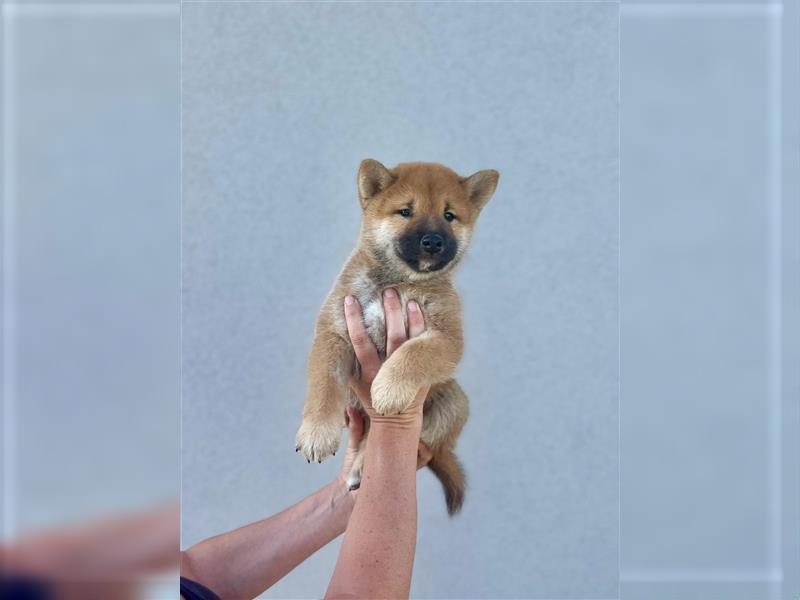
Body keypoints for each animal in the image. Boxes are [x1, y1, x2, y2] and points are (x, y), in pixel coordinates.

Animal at [296, 159, 496, 516]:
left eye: (449, 215)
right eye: (406, 211)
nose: (433, 241)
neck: (398, 282)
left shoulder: (446, 338)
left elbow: (413, 354)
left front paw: (388, 388)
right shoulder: (334, 330)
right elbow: (323, 386)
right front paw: (316, 432)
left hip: (453, 401)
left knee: (410, 444)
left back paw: (362, 466)